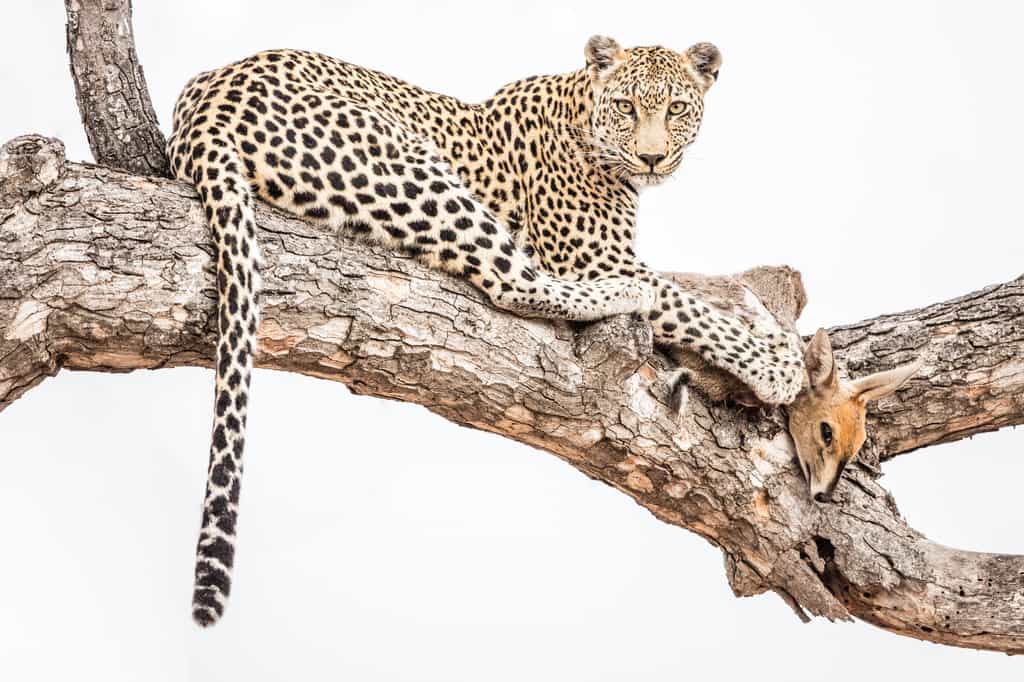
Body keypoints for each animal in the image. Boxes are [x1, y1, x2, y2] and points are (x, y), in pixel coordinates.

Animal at [167, 35, 804, 627]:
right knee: (512, 278)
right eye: (626, 106)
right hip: (409, 164)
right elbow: (686, 303)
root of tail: (203, 105)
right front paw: (777, 364)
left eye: (676, 108)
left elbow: (692, 289)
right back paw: (626, 297)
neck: (584, 112)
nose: (651, 157)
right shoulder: (591, 258)